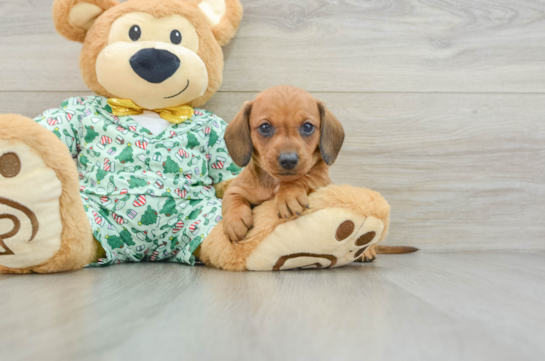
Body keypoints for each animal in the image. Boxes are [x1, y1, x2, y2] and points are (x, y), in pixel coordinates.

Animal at [220, 85, 340, 242]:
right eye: (265, 127)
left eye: (308, 126)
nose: (288, 160)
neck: (274, 182)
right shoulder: (235, 188)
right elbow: (232, 198)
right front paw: (235, 220)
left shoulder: (322, 181)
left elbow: (301, 178)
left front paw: (288, 195)